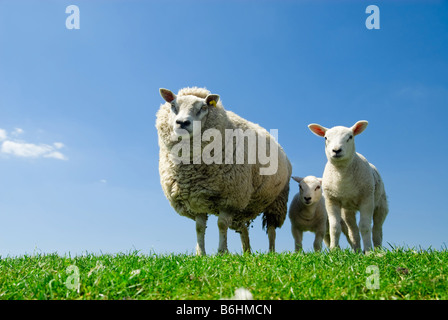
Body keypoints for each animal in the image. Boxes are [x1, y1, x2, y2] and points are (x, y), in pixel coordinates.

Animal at [156, 85, 292, 255]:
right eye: (173, 105)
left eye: (204, 107)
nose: (182, 123)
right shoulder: (196, 199)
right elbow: (199, 228)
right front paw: (201, 254)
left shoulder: (231, 198)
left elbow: (221, 224)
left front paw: (221, 252)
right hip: (243, 210)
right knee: (243, 229)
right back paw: (247, 252)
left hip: (277, 200)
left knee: (272, 230)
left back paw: (271, 252)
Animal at [308, 120, 388, 252]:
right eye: (325, 138)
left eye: (350, 137)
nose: (336, 150)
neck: (343, 181)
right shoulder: (332, 200)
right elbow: (334, 227)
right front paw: (334, 251)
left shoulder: (367, 199)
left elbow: (365, 226)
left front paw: (368, 251)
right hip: (347, 211)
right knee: (353, 231)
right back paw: (357, 250)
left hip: (381, 205)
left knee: (377, 229)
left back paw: (377, 249)